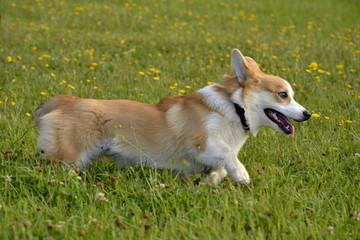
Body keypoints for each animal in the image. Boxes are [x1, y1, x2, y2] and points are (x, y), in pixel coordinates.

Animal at [33, 48, 310, 184]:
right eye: (283, 95)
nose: (308, 114)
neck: (235, 107)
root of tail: (65, 100)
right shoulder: (201, 142)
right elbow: (228, 155)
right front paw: (241, 175)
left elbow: (220, 169)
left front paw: (210, 181)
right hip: (69, 157)